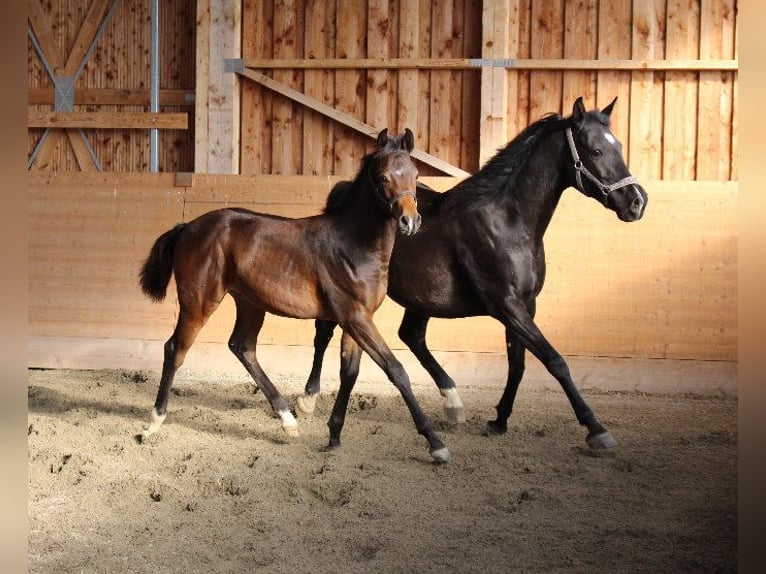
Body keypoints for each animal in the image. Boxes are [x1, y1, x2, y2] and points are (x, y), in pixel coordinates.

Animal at [138, 128, 451, 463]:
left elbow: (349, 373)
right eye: (382, 177)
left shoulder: (357, 319)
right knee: (176, 349)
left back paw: (287, 419)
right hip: (198, 302)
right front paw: (436, 443)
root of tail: (187, 227)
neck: (352, 244)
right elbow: (396, 370)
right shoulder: (355, 317)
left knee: (242, 347)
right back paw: (154, 422)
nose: (410, 221)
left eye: (415, 175)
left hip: (250, 302)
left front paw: (334, 436)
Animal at [298, 97, 648, 450]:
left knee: (411, 335)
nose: (637, 202)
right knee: (323, 334)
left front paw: (499, 420)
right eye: (596, 151)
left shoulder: (525, 305)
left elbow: (518, 364)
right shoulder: (507, 306)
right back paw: (308, 399)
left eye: (618, 146)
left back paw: (453, 402)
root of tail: (343, 193)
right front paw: (596, 428)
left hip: (420, 297)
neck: (508, 222)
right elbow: (555, 361)